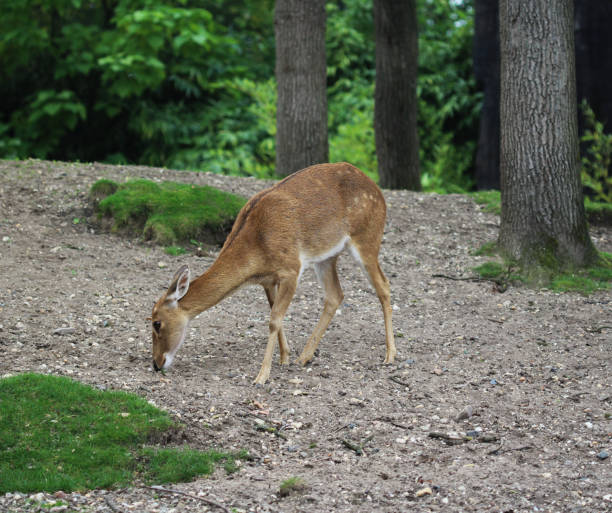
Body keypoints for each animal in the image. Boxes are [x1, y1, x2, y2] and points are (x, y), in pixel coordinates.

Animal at [151, 162, 394, 382]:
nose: (156, 363)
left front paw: (262, 376)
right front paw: (284, 358)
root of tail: (378, 191)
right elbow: (275, 314)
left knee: (383, 285)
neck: (257, 250)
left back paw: (390, 355)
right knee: (335, 294)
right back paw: (304, 357)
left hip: (367, 238)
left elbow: (274, 320)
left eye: (157, 323)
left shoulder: (292, 268)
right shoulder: (268, 280)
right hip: (326, 257)